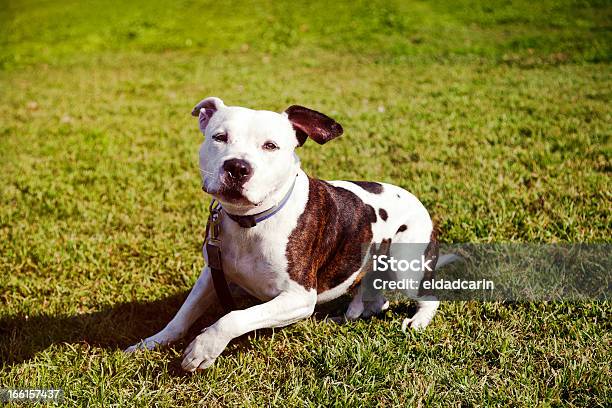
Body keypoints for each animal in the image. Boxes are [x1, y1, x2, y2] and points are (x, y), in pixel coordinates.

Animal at [125, 97, 450, 372]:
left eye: (270, 146)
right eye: (219, 137)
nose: (237, 167)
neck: (250, 222)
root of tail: (419, 204)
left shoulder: (299, 297)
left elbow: (234, 317)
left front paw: (204, 347)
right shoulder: (212, 274)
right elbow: (183, 315)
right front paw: (151, 342)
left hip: (405, 269)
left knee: (429, 297)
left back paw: (417, 322)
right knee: (374, 301)